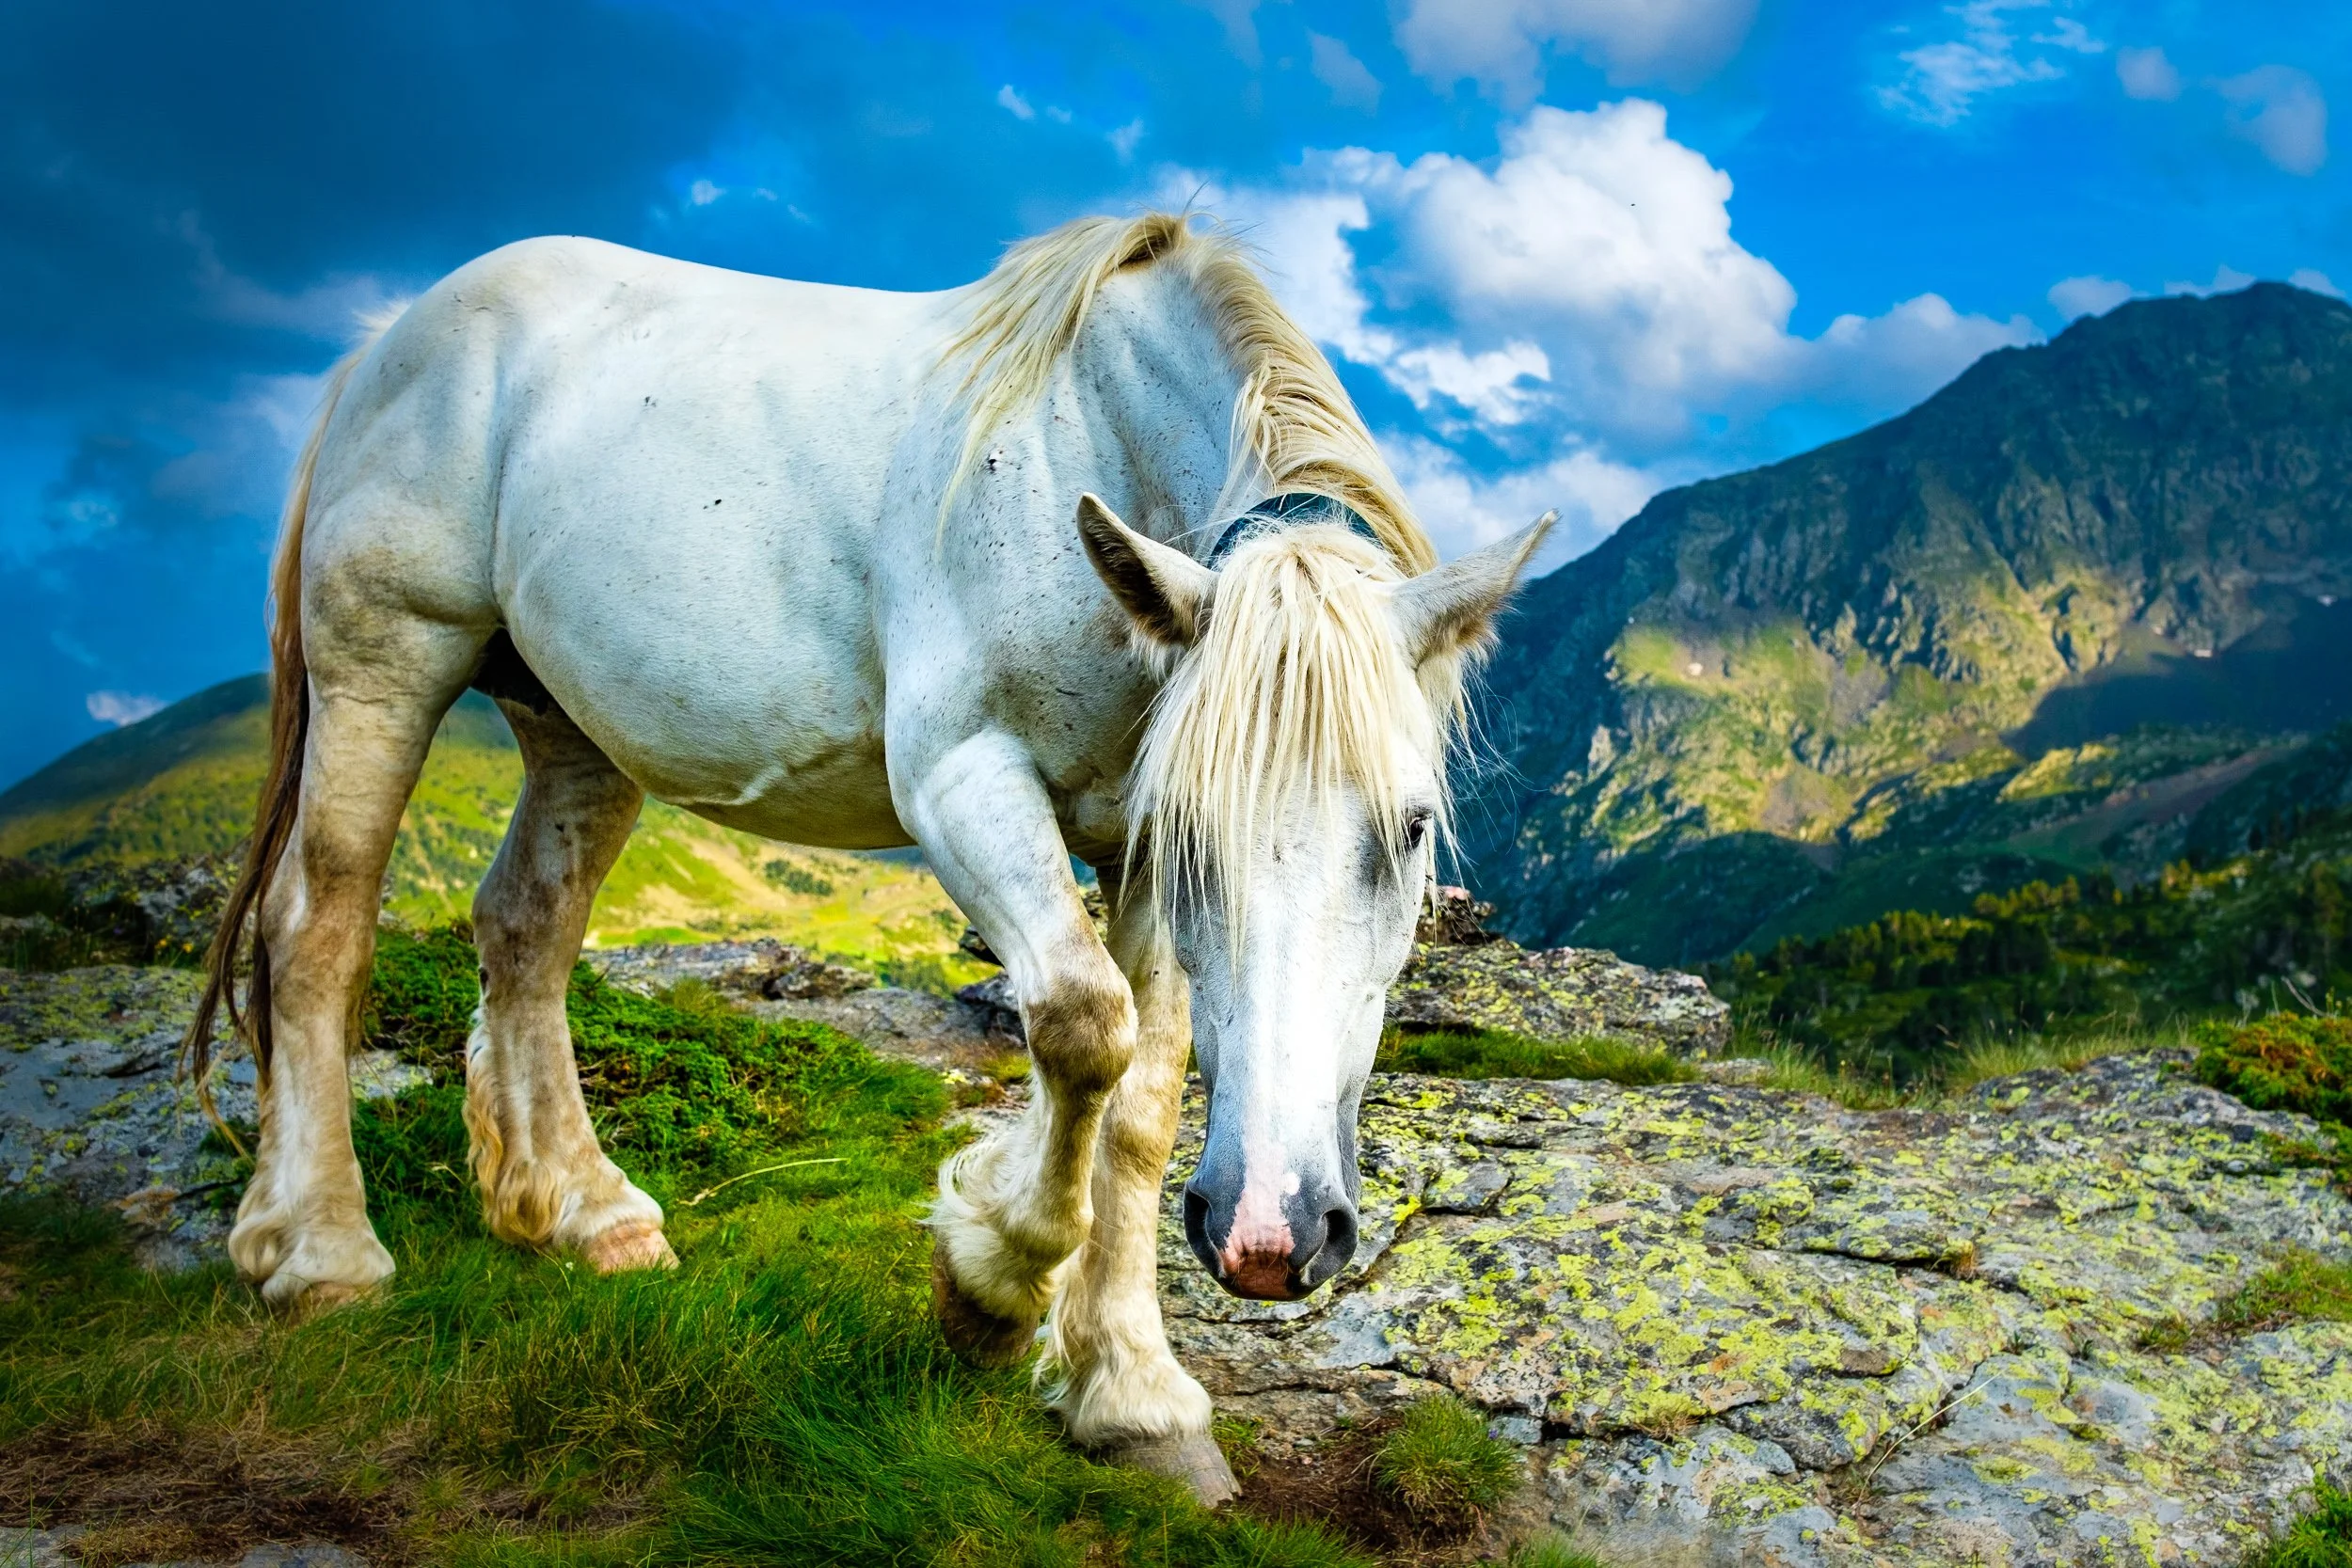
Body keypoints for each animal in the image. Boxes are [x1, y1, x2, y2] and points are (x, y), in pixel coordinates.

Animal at [186, 210, 1551, 1503]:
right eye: (1197, 825)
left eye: (1410, 826)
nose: (1273, 1233)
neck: (1088, 434)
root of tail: (389, 340)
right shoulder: (963, 779)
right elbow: (1081, 1026)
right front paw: (988, 1285)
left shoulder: (1128, 852)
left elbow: (1146, 1097)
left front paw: (1132, 1395)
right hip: (385, 664)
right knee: (318, 924)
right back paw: (316, 1252)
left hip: (574, 731)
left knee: (525, 929)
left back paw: (584, 1212)